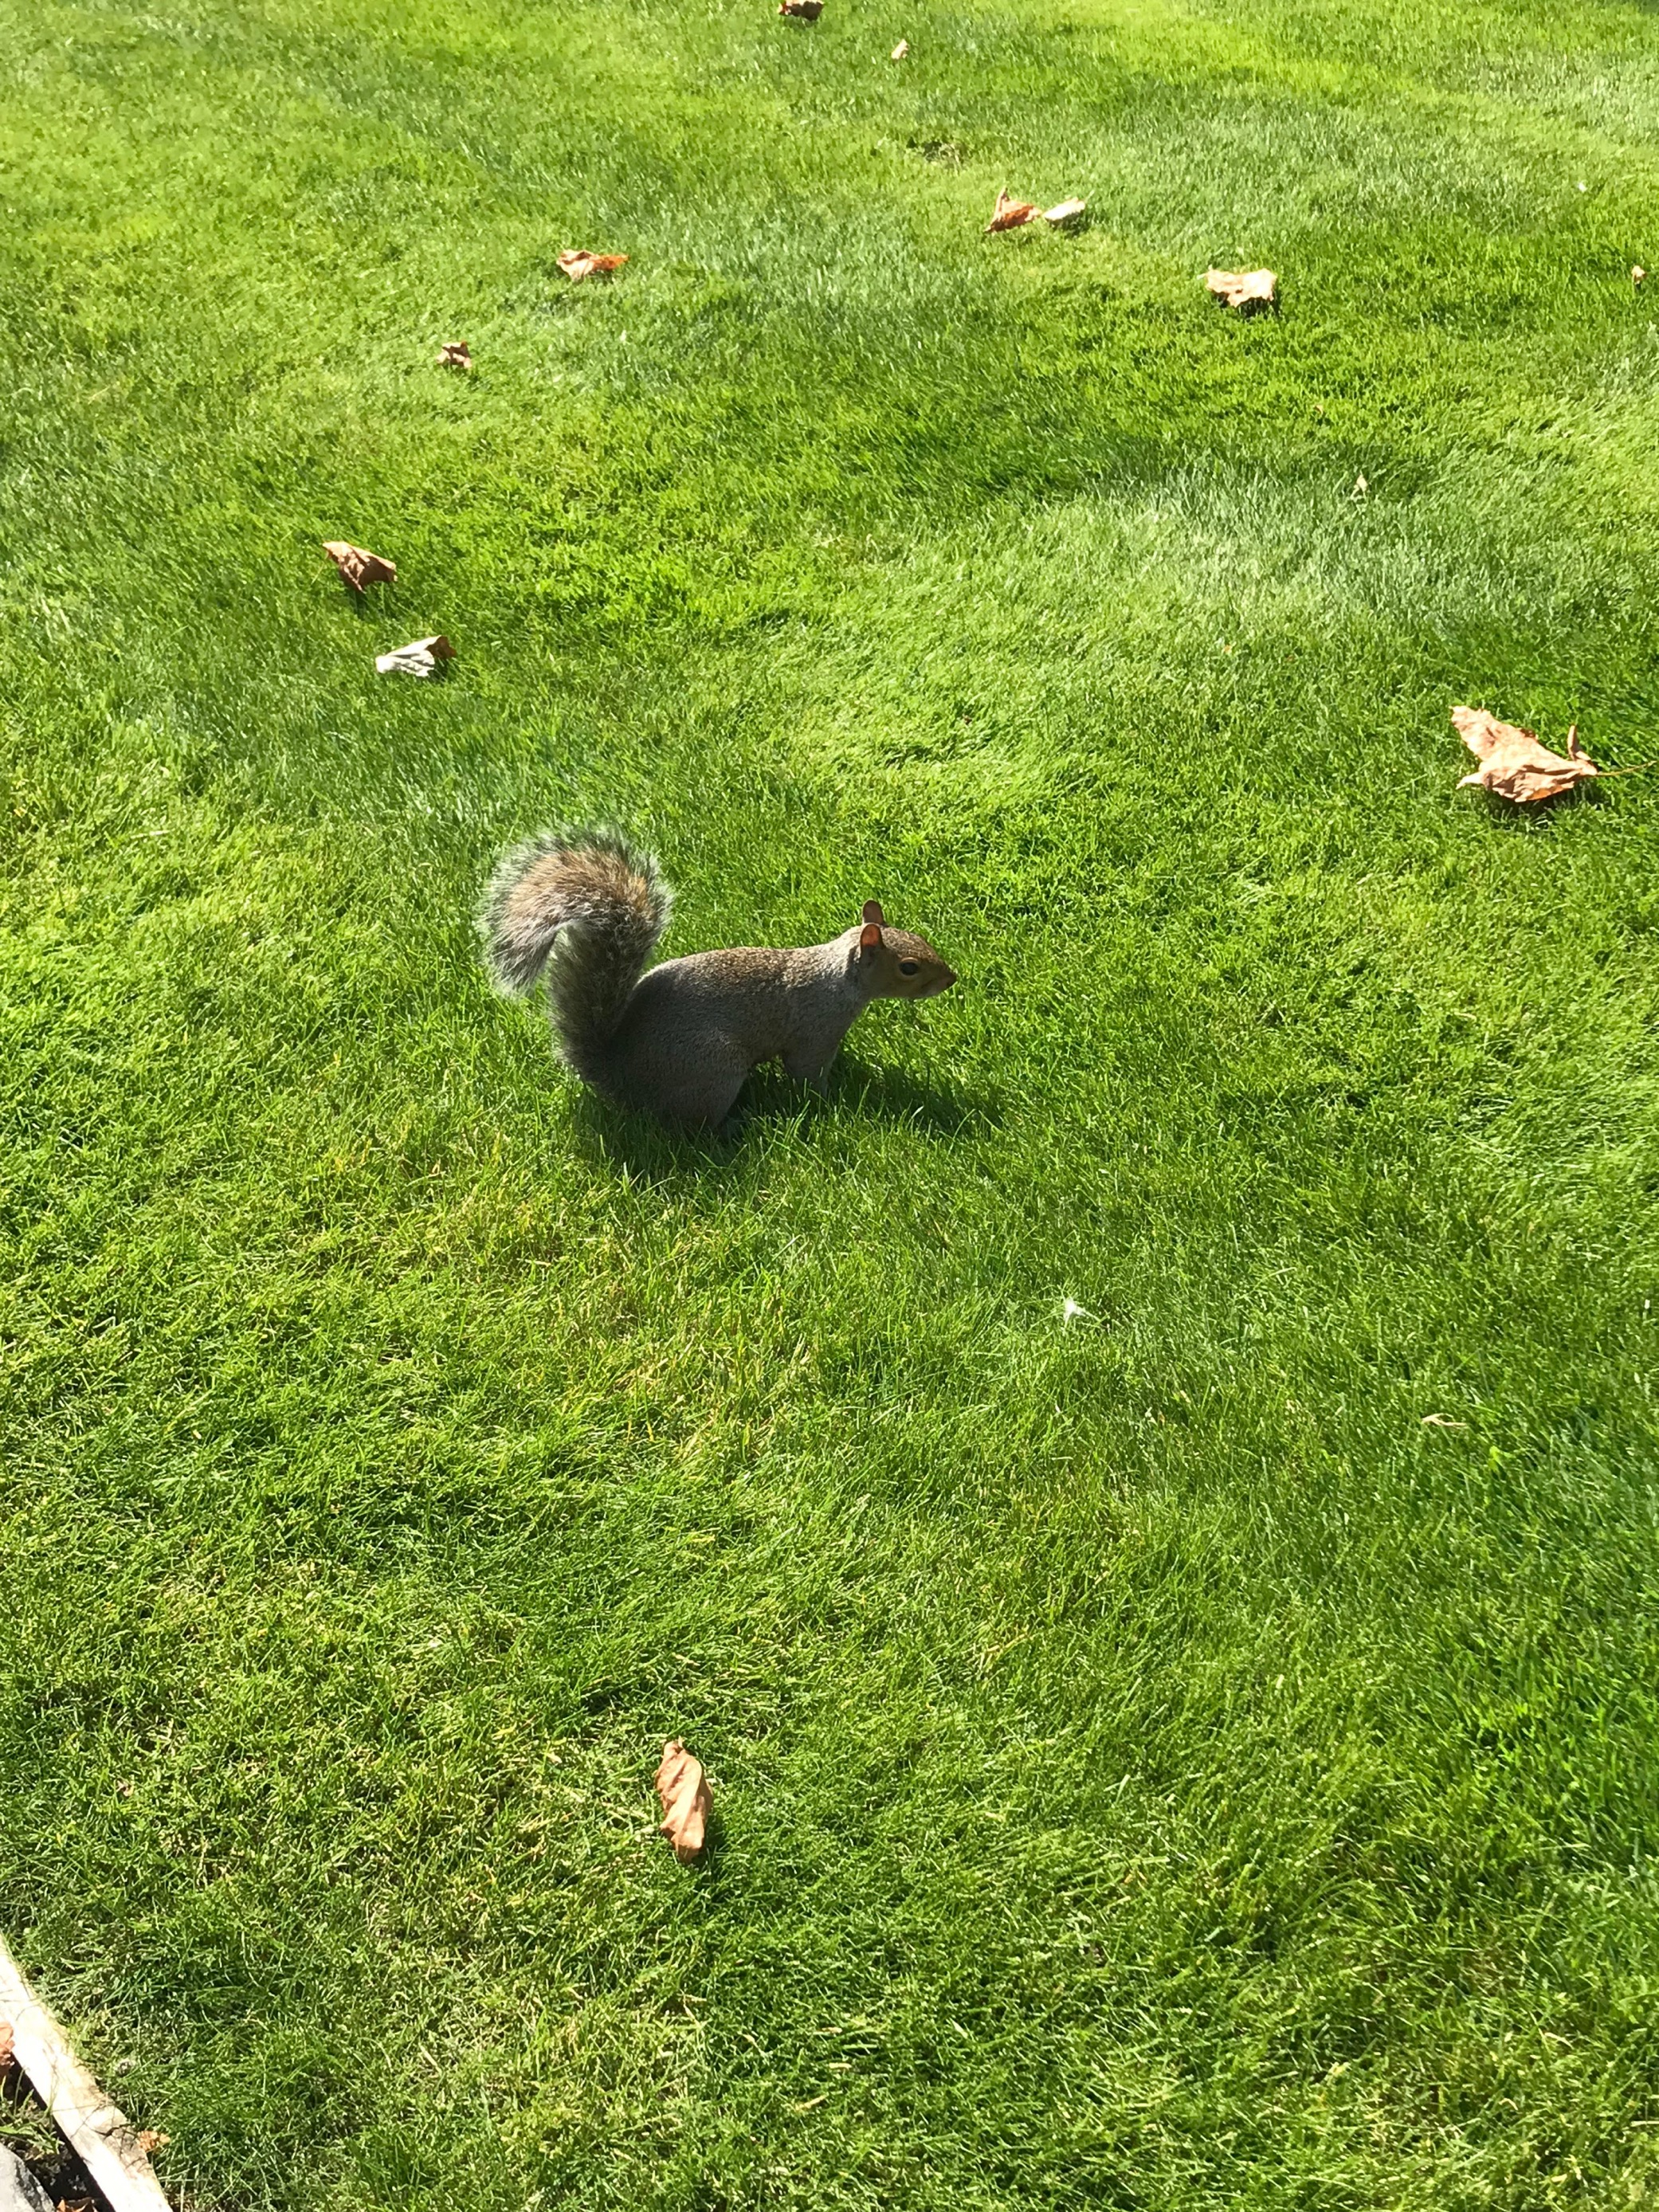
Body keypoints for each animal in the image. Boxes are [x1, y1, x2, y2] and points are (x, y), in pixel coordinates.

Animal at [479, 828, 957, 1125]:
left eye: (919, 936)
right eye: (909, 968)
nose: (951, 980)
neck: (839, 978)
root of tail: (618, 1076)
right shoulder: (814, 1032)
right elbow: (807, 1073)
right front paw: (827, 1101)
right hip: (714, 1070)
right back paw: (729, 1129)